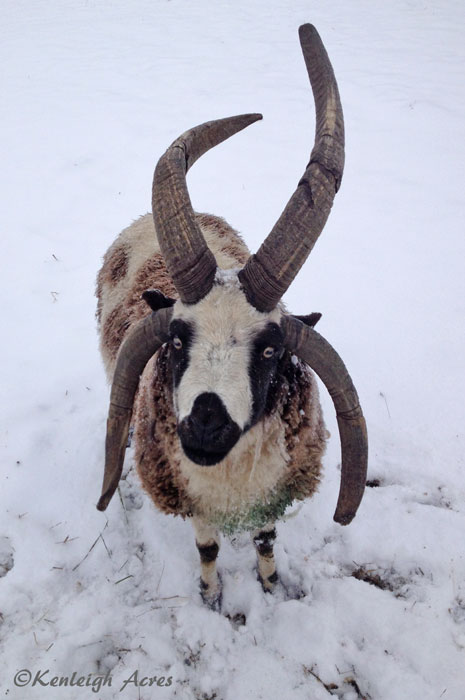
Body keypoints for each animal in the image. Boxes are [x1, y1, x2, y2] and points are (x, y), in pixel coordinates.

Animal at [95, 24, 368, 609]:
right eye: (177, 341)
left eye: (269, 349)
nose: (203, 427)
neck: (230, 485)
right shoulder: (190, 497)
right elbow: (208, 549)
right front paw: (213, 596)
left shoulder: (273, 493)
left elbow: (266, 541)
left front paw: (270, 585)